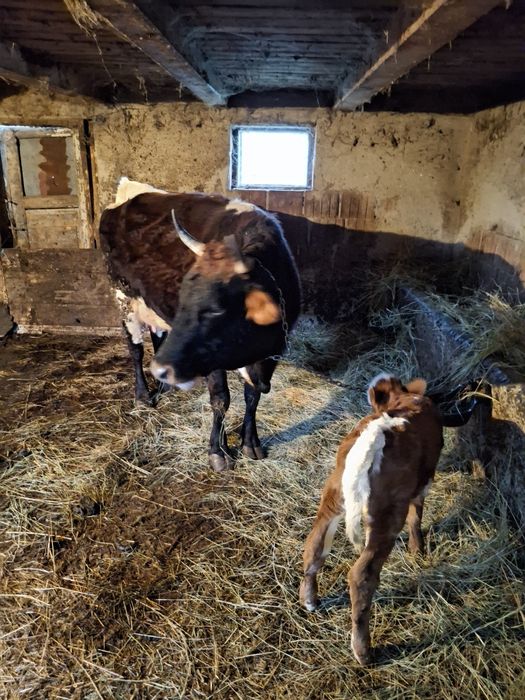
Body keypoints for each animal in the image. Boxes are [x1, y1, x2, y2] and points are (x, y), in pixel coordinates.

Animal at [99, 178, 301, 472]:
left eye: (217, 308)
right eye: (183, 294)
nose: (162, 369)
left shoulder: (270, 355)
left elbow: (253, 396)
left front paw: (250, 442)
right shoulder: (211, 358)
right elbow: (221, 400)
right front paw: (218, 451)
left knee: (158, 336)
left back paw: (163, 386)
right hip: (124, 298)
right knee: (135, 349)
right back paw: (143, 395)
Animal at [299, 373, 443, 665]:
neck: (405, 399)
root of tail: (374, 434)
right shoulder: (423, 483)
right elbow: (417, 516)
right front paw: (417, 550)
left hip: (332, 497)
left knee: (313, 548)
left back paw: (309, 601)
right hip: (385, 517)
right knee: (361, 576)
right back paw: (363, 651)